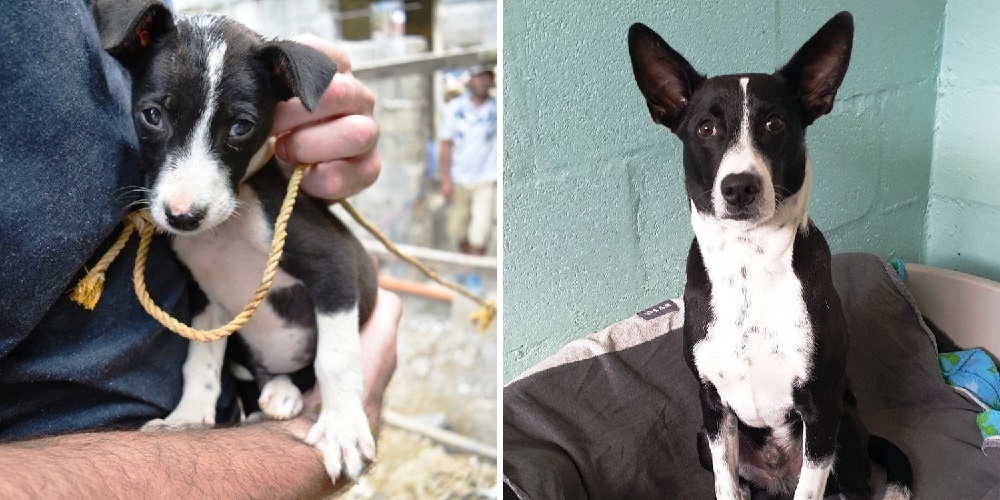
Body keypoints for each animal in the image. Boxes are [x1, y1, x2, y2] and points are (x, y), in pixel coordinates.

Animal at [93, 0, 378, 480]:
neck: (227, 226)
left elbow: (337, 356)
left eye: (241, 127)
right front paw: (188, 418)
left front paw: (342, 427)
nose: (183, 216)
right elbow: (201, 359)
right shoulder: (208, 296)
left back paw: (285, 393)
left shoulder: (334, 262)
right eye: (153, 115)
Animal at [632, 11, 916, 500]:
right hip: (701, 437)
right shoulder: (712, 406)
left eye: (774, 124)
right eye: (705, 128)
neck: (750, 262)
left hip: (844, 429)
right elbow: (726, 484)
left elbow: (811, 487)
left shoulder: (820, 410)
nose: (739, 187)